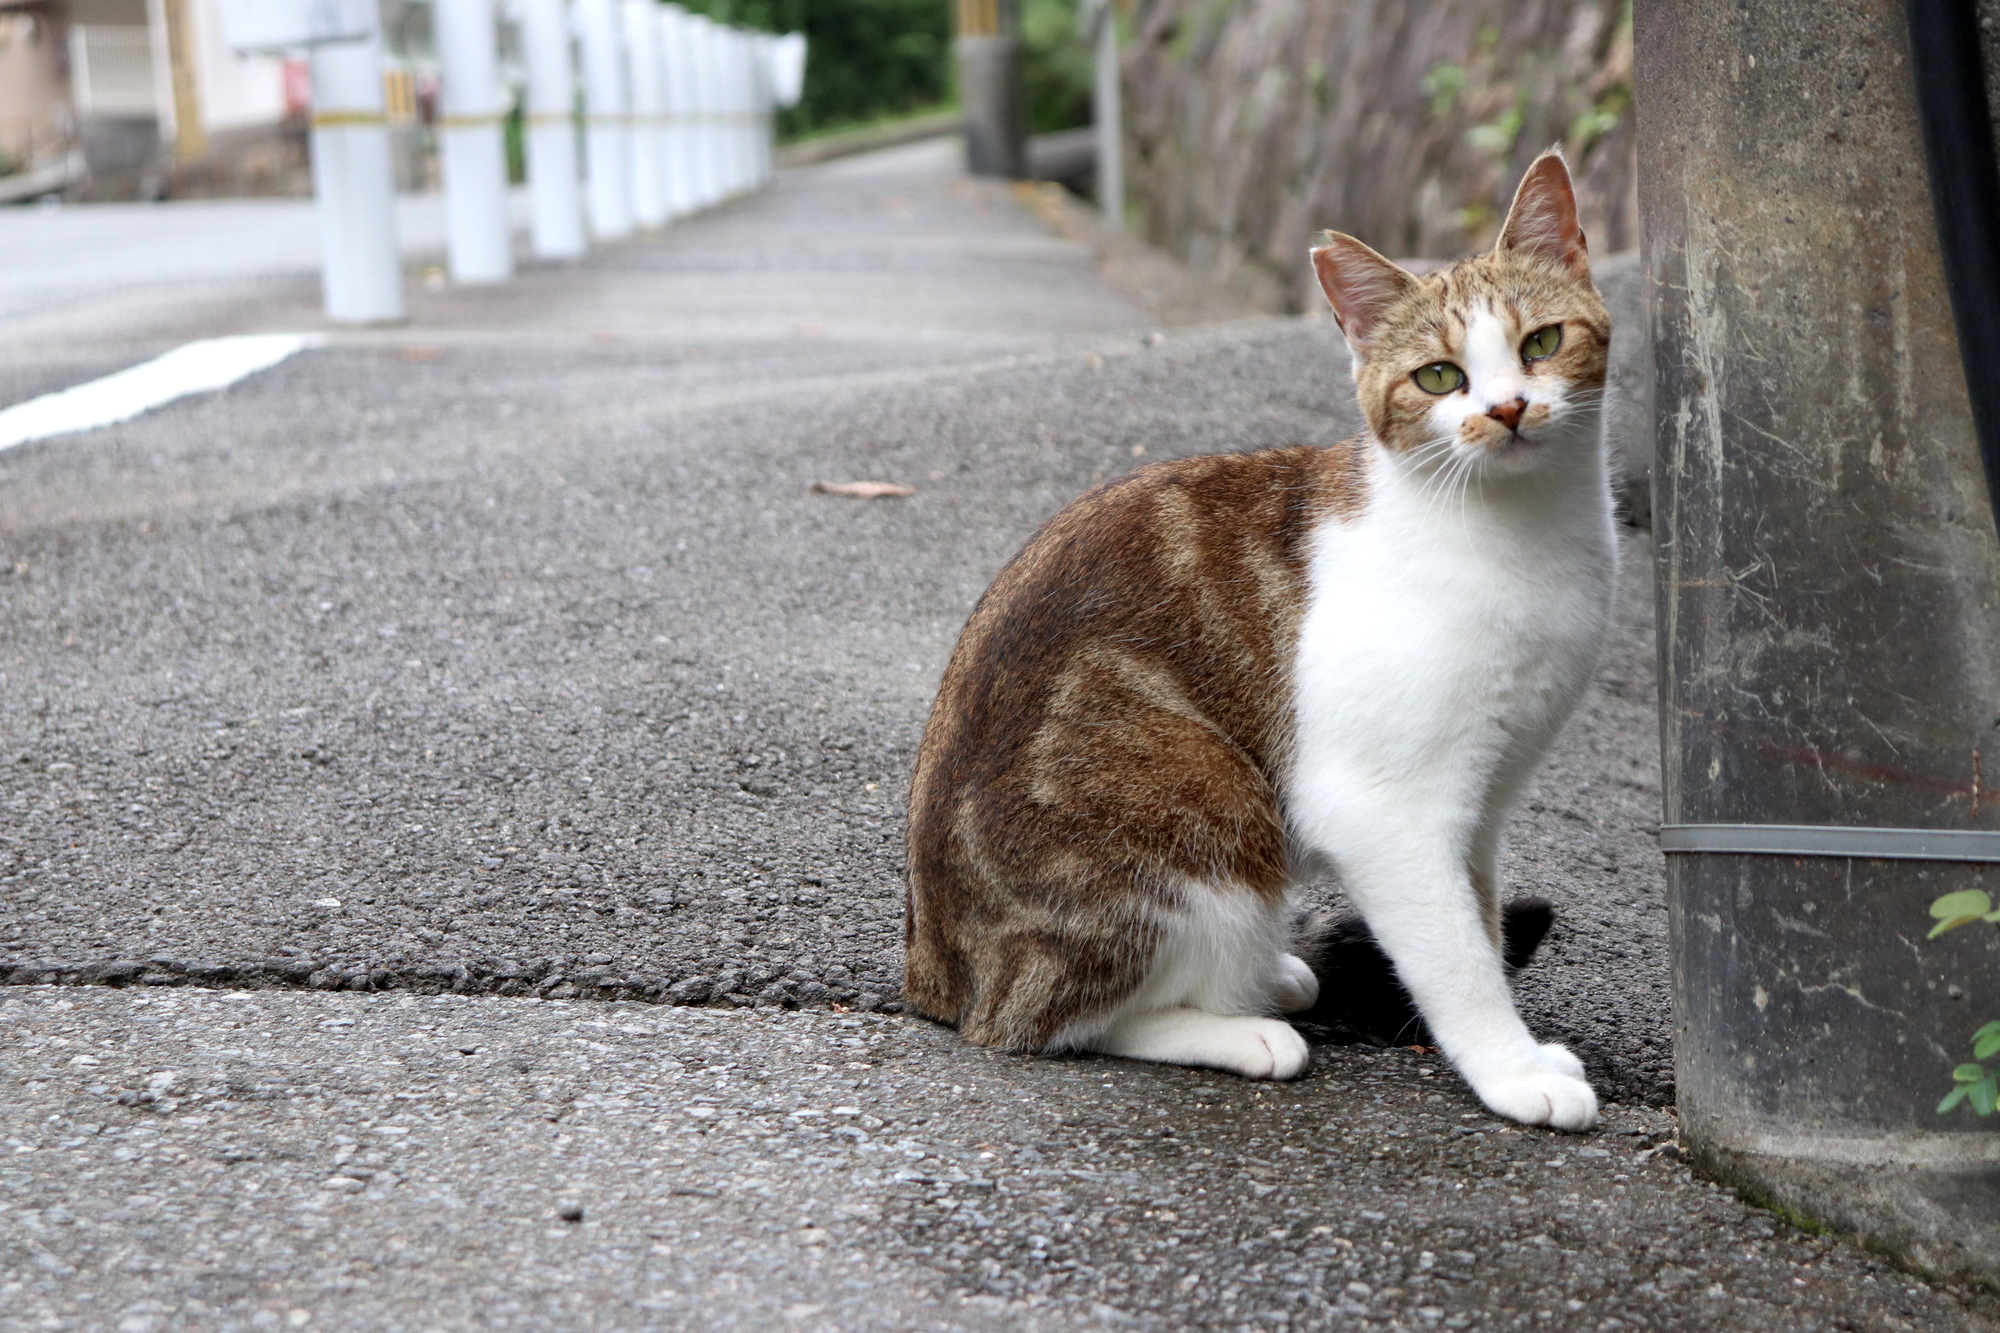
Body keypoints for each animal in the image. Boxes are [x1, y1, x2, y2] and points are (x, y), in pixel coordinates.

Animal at [900, 150, 1616, 1128]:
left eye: (1541, 344)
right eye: (1438, 377)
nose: (1506, 409)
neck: (1517, 531)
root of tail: (934, 972)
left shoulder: (1482, 802)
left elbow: (1480, 914)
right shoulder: (1384, 805)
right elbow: (1457, 953)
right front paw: (1511, 1069)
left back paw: (1271, 975)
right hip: (1203, 799)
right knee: (1040, 1018)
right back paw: (1240, 1027)